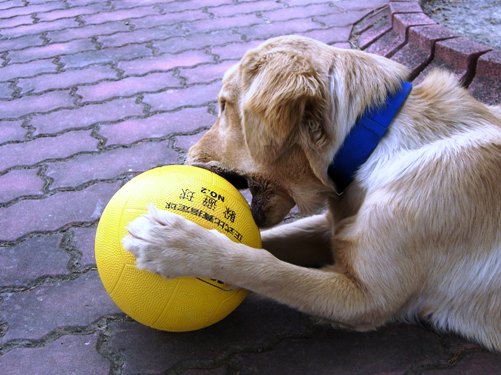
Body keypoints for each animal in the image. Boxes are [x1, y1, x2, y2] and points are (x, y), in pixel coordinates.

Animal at [122, 35, 500, 352]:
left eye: (225, 106)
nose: (187, 159)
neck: (376, 145)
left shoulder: (366, 297)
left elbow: (266, 267)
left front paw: (178, 245)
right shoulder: (332, 227)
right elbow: (266, 242)